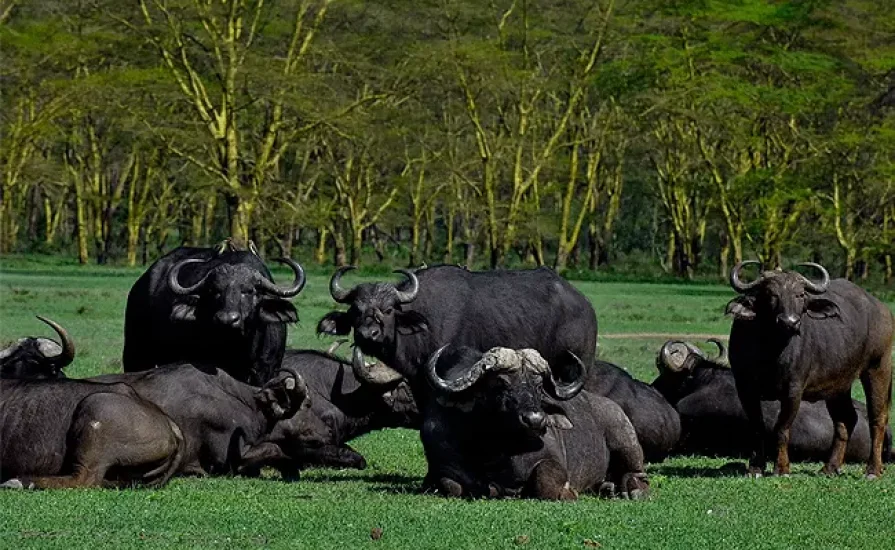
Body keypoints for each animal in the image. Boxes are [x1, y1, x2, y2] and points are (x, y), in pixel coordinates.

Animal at [123, 245, 306, 385]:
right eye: (215, 291)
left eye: (249, 291)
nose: (227, 319)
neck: (241, 349)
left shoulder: (268, 371)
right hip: (135, 351)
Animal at [420, 346, 648, 500]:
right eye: (501, 384)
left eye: (538, 386)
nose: (535, 419)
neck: (497, 448)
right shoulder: (441, 464)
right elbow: (452, 485)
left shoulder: (552, 461)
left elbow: (545, 479)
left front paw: (567, 492)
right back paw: (607, 487)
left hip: (625, 439)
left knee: (637, 473)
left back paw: (632, 489)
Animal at [726, 261, 894, 478]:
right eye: (771, 294)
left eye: (800, 295)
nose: (789, 322)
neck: (770, 351)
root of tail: (882, 309)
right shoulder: (745, 387)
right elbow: (757, 427)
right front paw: (756, 467)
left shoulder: (793, 391)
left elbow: (781, 429)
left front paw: (781, 468)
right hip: (839, 385)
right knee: (846, 420)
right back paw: (830, 467)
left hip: (878, 368)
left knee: (878, 418)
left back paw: (873, 470)